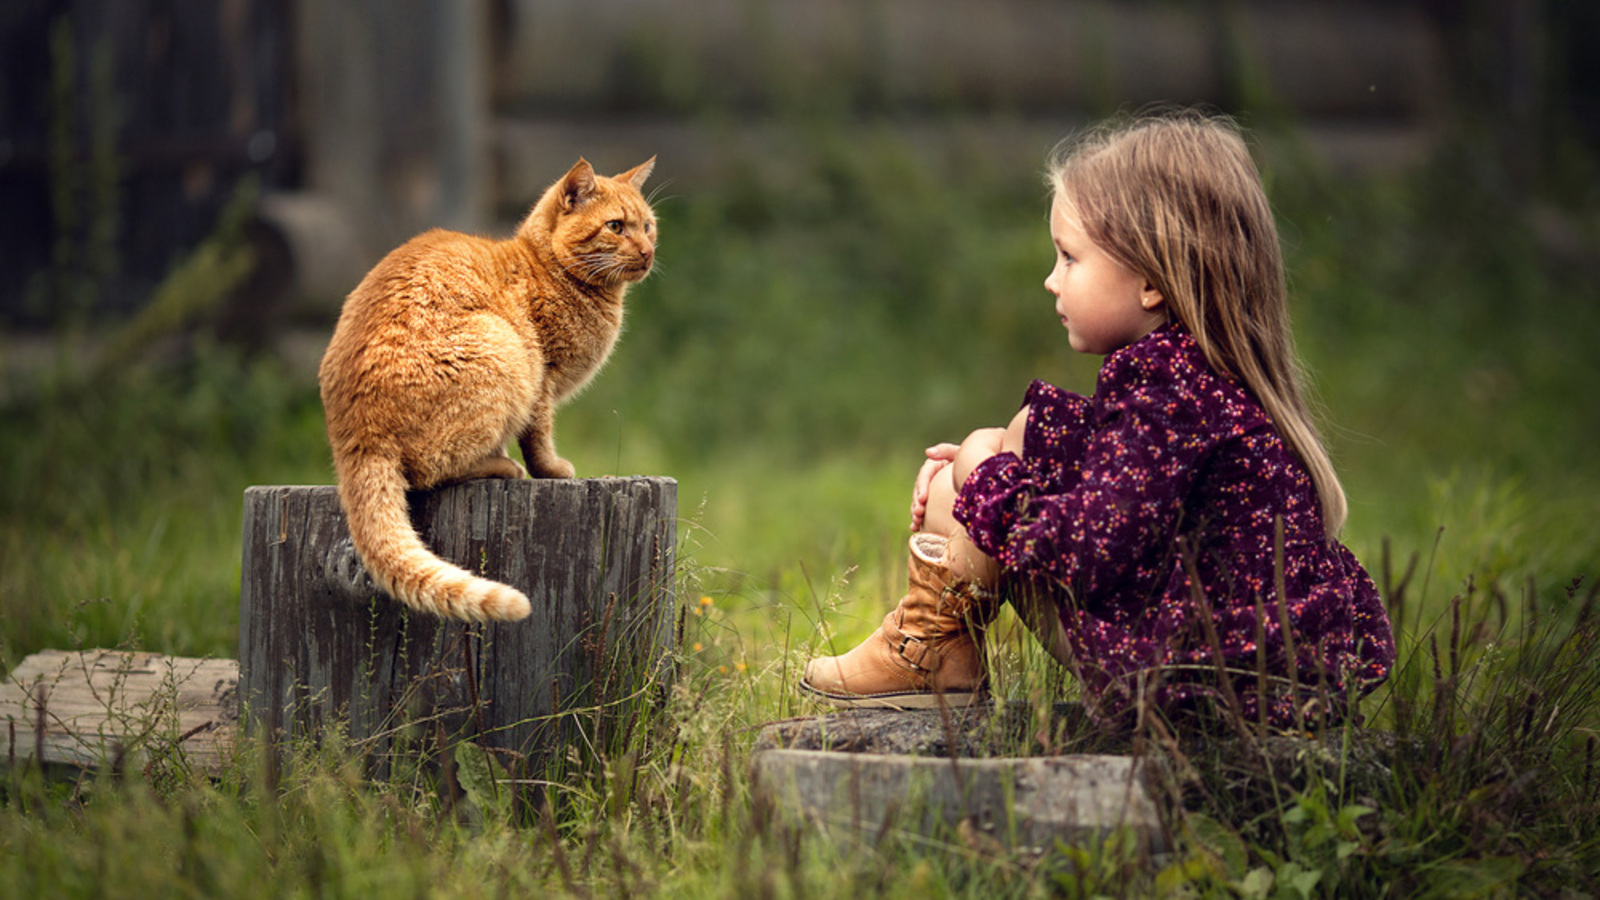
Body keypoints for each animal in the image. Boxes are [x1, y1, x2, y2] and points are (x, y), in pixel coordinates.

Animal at [318, 156, 656, 614]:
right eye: (616, 226)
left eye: (648, 226)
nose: (647, 251)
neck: (551, 269)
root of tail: (355, 436)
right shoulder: (542, 379)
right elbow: (539, 441)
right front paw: (552, 470)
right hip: (504, 348)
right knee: (430, 470)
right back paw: (501, 466)